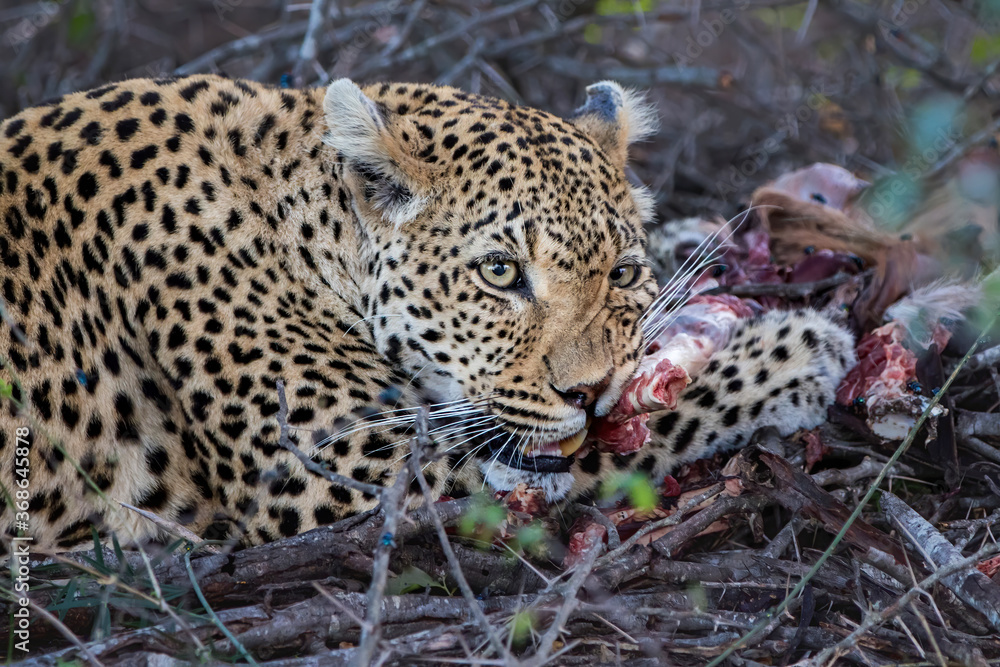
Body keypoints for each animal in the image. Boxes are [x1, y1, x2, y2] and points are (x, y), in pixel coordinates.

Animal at [0, 74, 855, 552]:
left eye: (621, 272)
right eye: (500, 272)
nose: (591, 393)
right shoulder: (346, 474)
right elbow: (628, 442)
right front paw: (792, 354)